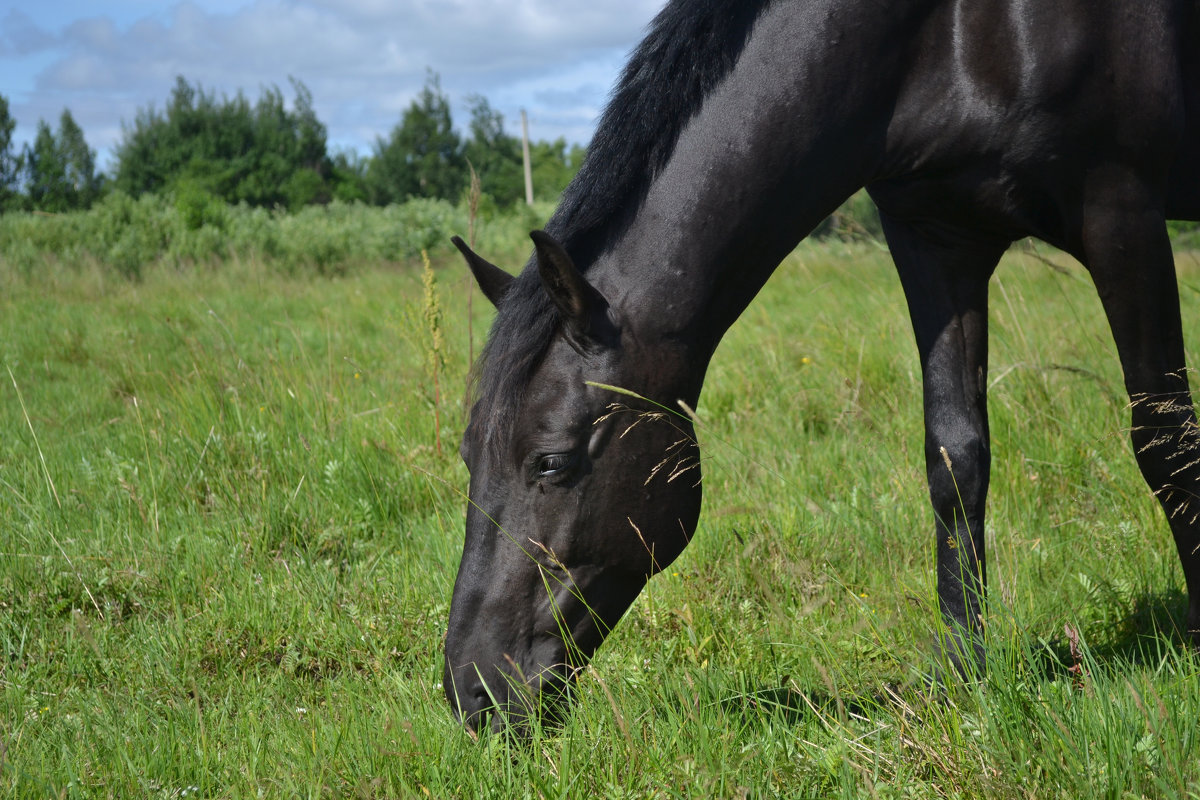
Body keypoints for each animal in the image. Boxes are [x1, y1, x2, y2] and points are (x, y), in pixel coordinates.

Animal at [444, 0, 1200, 734]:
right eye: (466, 454)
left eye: (551, 462)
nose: (473, 694)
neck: (957, 29)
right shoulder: (936, 238)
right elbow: (956, 458)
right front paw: (961, 673)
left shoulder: (1120, 210)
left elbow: (1165, 442)